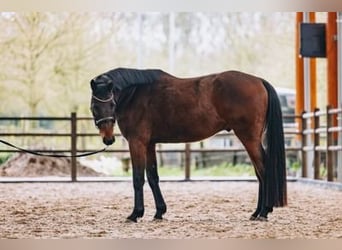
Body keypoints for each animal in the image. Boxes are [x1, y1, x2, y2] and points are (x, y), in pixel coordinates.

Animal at [89, 67, 288, 222]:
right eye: (94, 107)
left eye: (112, 104)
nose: (108, 139)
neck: (135, 95)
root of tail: (258, 81)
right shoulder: (150, 144)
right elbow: (153, 177)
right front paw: (159, 212)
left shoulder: (137, 143)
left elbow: (138, 178)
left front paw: (135, 214)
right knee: (259, 173)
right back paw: (257, 212)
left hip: (249, 138)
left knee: (263, 171)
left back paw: (264, 211)